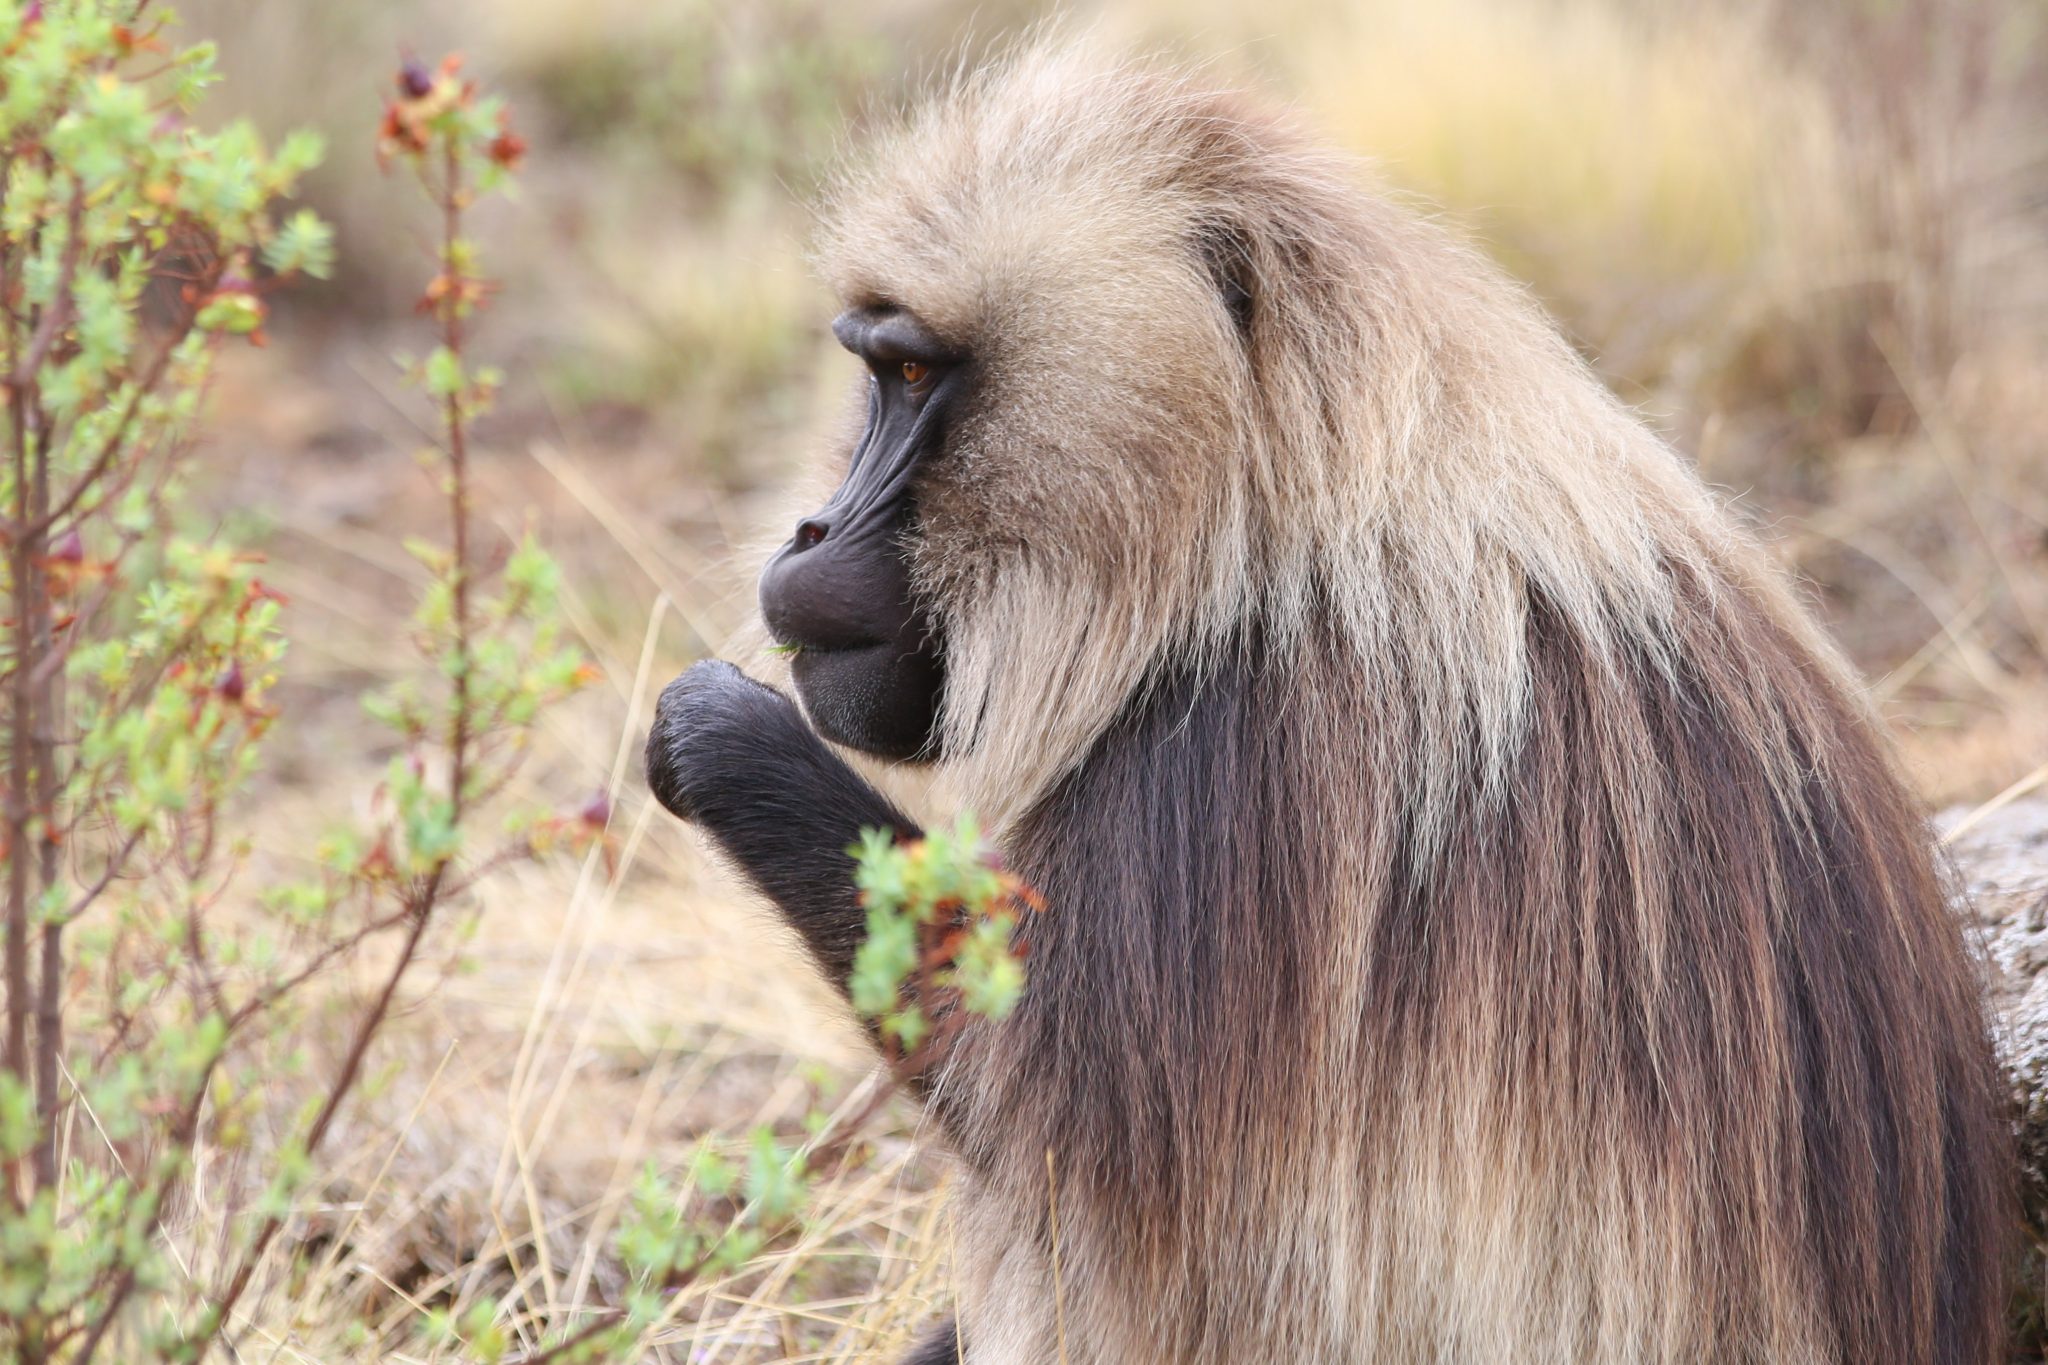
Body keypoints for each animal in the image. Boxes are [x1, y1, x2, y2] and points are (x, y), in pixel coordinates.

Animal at [645, 44, 2012, 1365]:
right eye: (873, 369)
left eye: (915, 372)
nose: (809, 530)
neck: (1275, 527)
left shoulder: (1238, 760)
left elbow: (1014, 1107)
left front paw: (720, 735)